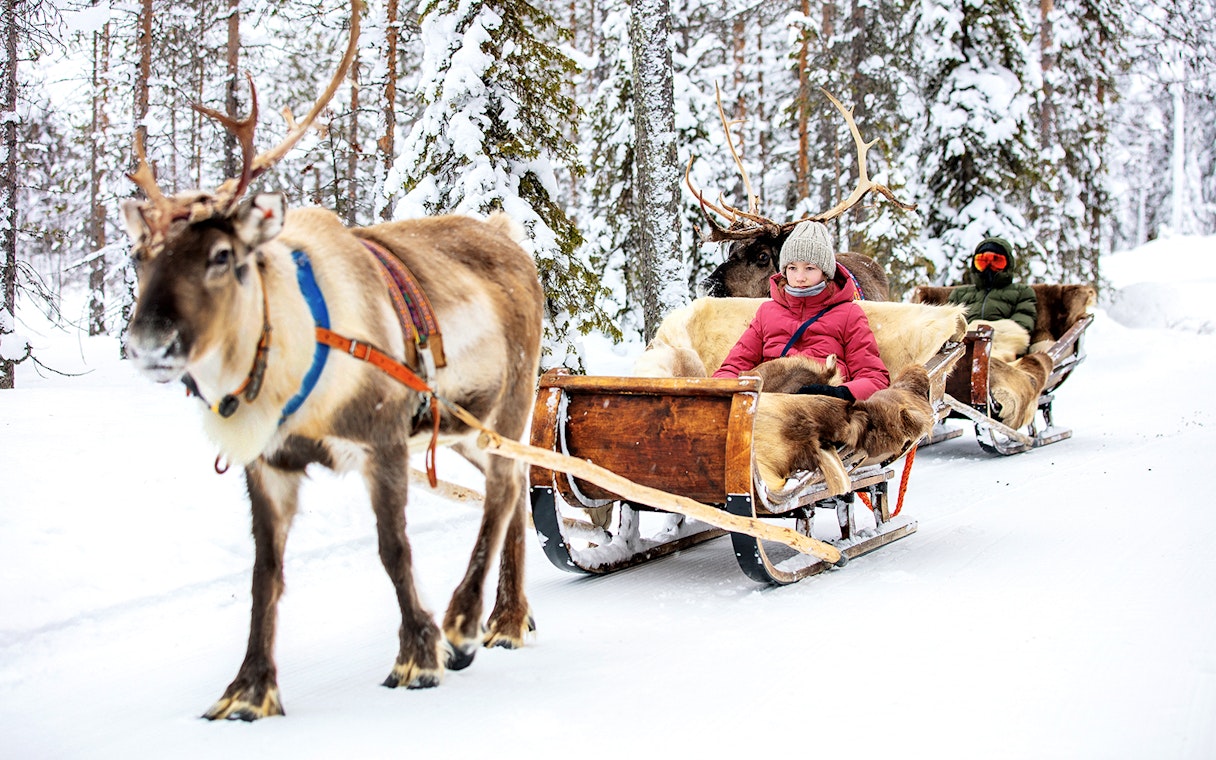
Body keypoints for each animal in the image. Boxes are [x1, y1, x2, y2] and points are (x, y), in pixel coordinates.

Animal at [120, 0, 542, 720]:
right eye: (139, 255)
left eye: (222, 256)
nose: (150, 343)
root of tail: (508, 235)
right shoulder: (268, 466)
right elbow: (264, 576)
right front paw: (248, 690)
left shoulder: (382, 440)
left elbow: (393, 549)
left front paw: (419, 654)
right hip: (463, 429)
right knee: (511, 488)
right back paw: (508, 619)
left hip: (510, 400)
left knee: (507, 488)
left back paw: (465, 622)